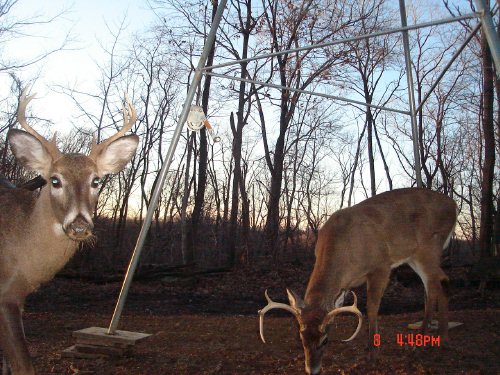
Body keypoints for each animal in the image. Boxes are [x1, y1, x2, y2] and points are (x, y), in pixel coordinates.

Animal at [0, 89, 139, 374]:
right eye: (55, 180)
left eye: (96, 180)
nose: (79, 226)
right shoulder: (5, 296)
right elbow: (23, 366)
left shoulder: (18, 297)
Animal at [260, 189, 458, 374]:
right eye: (301, 338)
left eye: (325, 340)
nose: (312, 370)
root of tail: (454, 205)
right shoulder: (347, 283)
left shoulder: (381, 266)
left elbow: (371, 308)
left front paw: (372, 353)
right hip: (414, 257)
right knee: (444, 281)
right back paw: (444, 338)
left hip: (429, 247)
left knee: (432, 287)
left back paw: (419, 344)